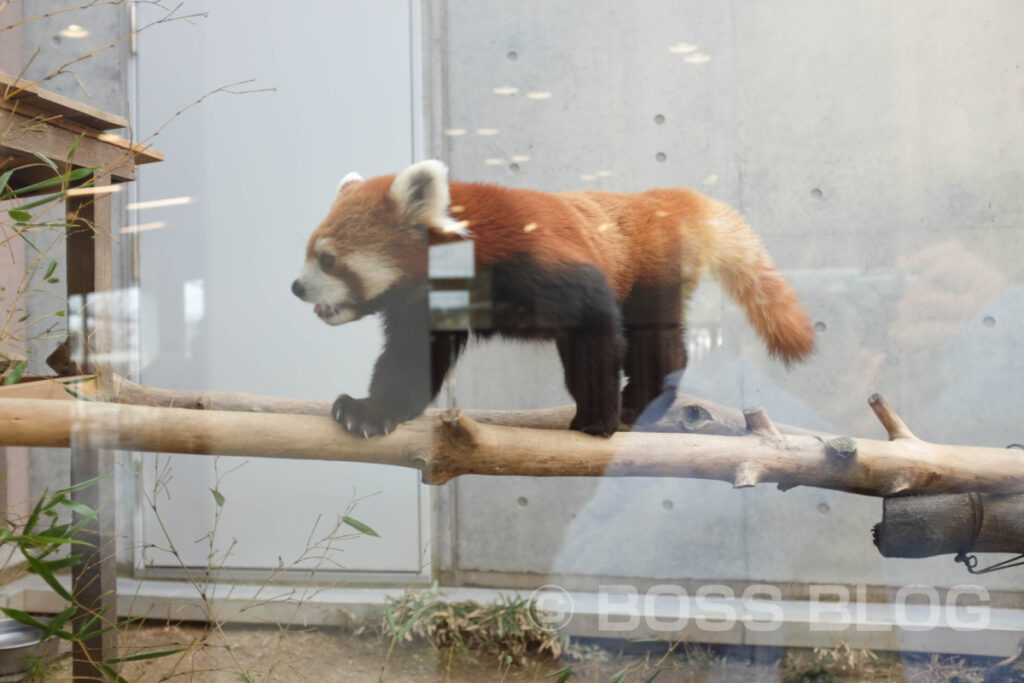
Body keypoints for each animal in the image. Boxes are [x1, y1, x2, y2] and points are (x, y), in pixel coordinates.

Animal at [290, 158, 815, 438]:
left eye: (328, 259)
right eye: (308, 253)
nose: (296, 287)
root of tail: (657, 199)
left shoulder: (542, 264)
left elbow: (595, 323)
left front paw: (598, 420)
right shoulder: (422, 308)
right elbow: (406, 364)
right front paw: (370, 411)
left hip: (651, 272)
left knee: (656, 341)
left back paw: (636, 402)